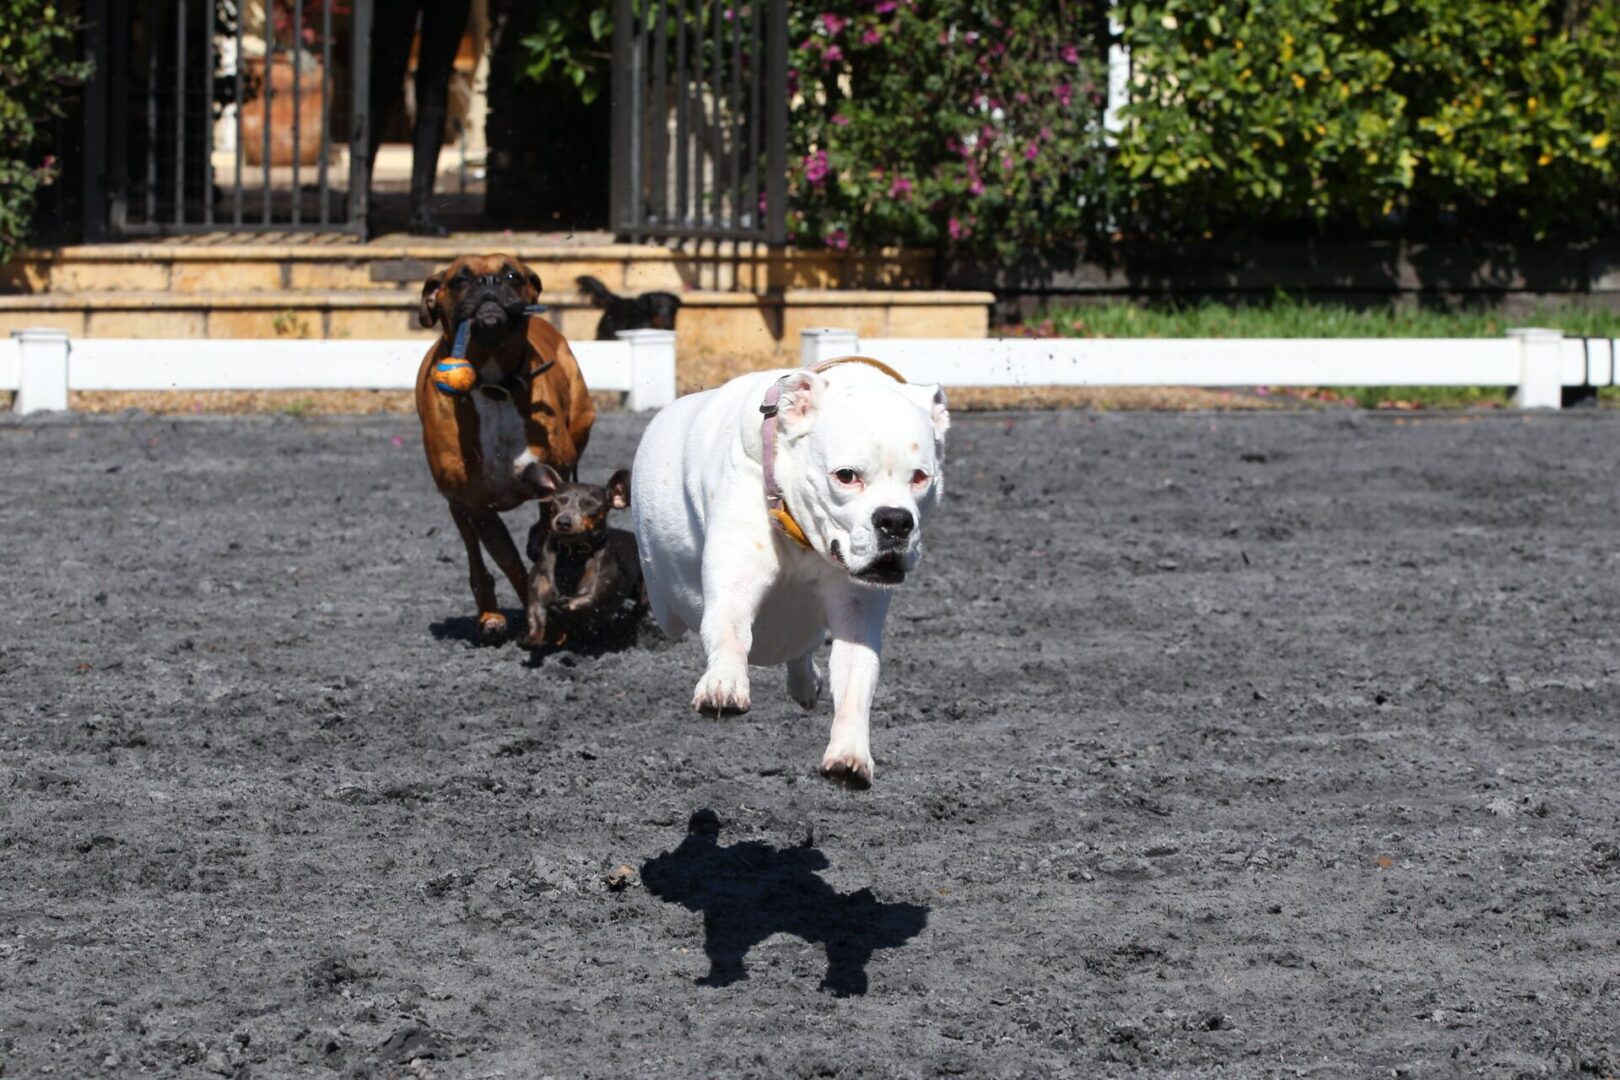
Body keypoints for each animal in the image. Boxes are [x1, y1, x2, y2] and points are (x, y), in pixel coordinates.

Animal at [414, 255, 599, 641]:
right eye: (460, 279)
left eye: (512, 275)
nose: (488, 282)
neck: (494, 385)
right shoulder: (476, 507)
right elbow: (511, 562)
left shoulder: (554, 481)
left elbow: (547, 536)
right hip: (457, 508)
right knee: (474, 556)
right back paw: (489, 614)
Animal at [521, 463, 641, 647]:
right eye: (559, 500)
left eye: (590, 504)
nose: (563, 522)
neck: (572, 555)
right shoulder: (539, 587)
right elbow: (536, 611)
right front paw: (534, 637)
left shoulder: (595, 595)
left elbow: (584, 603)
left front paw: (561, 606)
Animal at [631, 359, 946, 790]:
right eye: (845, 475)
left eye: (919, 477)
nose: (896, 521)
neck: (802, 535)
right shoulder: (733, 586)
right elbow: (729, 632)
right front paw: (724, 684)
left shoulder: (857, 609)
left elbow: (855, 676)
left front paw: (849, 753)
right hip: (666, 605)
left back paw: (804, 683)